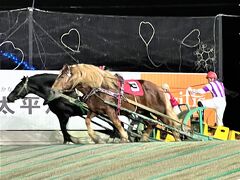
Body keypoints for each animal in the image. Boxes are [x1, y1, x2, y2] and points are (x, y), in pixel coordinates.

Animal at [51, 64, 182, 143]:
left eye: (62, 77)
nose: (53, 90)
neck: (99, 87)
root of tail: (160, 89)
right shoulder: (95, 110)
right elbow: (87, 121)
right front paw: (96, 138)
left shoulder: (110, 110)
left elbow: (117, 123)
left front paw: (124, 137)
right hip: (143, 111)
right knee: (151, 123)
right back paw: (144, 138)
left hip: (160, 111)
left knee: (171, 124)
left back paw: (178, 139)